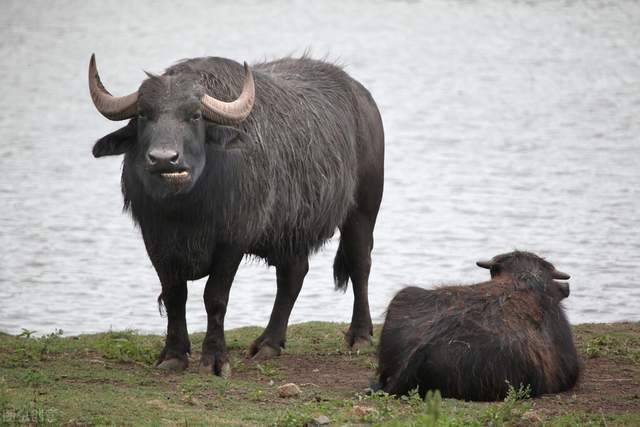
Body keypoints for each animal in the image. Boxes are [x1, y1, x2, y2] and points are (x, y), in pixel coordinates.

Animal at [87, 54, 382, 378]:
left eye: (195, 116)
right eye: (143, 114)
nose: (164, 159)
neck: (185, 210)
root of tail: (363, 98)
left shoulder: (232, 241)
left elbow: (215, 297)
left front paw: (215, 359)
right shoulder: (154, 239)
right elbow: (174, 295)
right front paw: (174, 355)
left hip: (363, 211)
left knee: (360, 264)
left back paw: (360, 335)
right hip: (291, 230)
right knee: (292, 275)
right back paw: (269, 343)